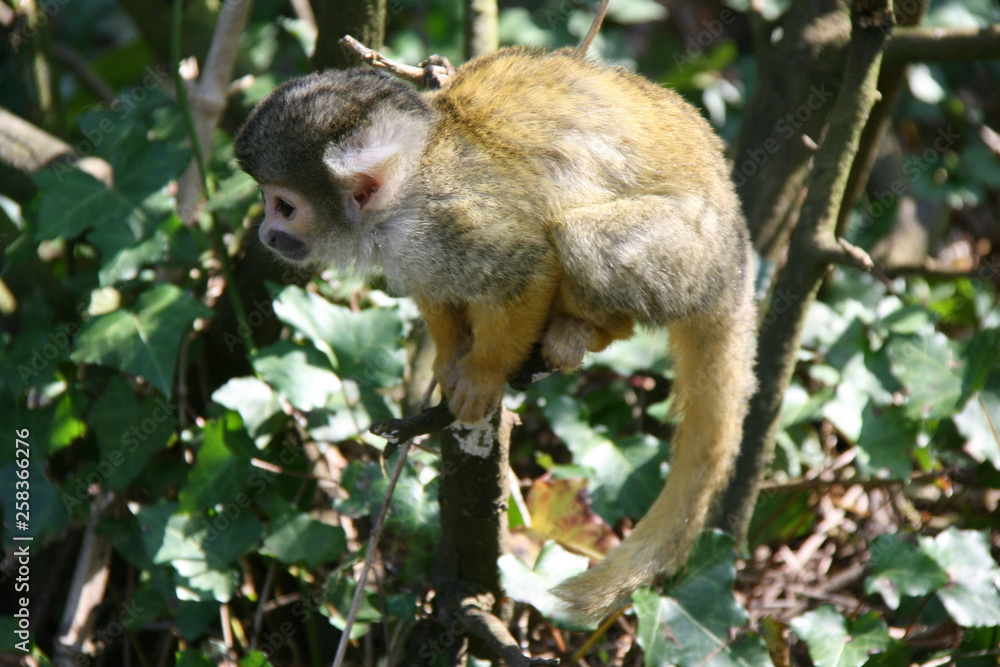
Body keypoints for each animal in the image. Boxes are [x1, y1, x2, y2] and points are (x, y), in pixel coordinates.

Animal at [233, 47, 757, 626]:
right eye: (266, 201)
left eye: (284, 206)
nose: (265, 233)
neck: (409, 189)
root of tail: (736, 256)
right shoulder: (417, 246)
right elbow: (437, 292)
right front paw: (449, 359)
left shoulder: (454, 217)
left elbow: (528, 269)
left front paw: (482, 375)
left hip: (687, 252)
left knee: (581, 237)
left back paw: (584, 330)